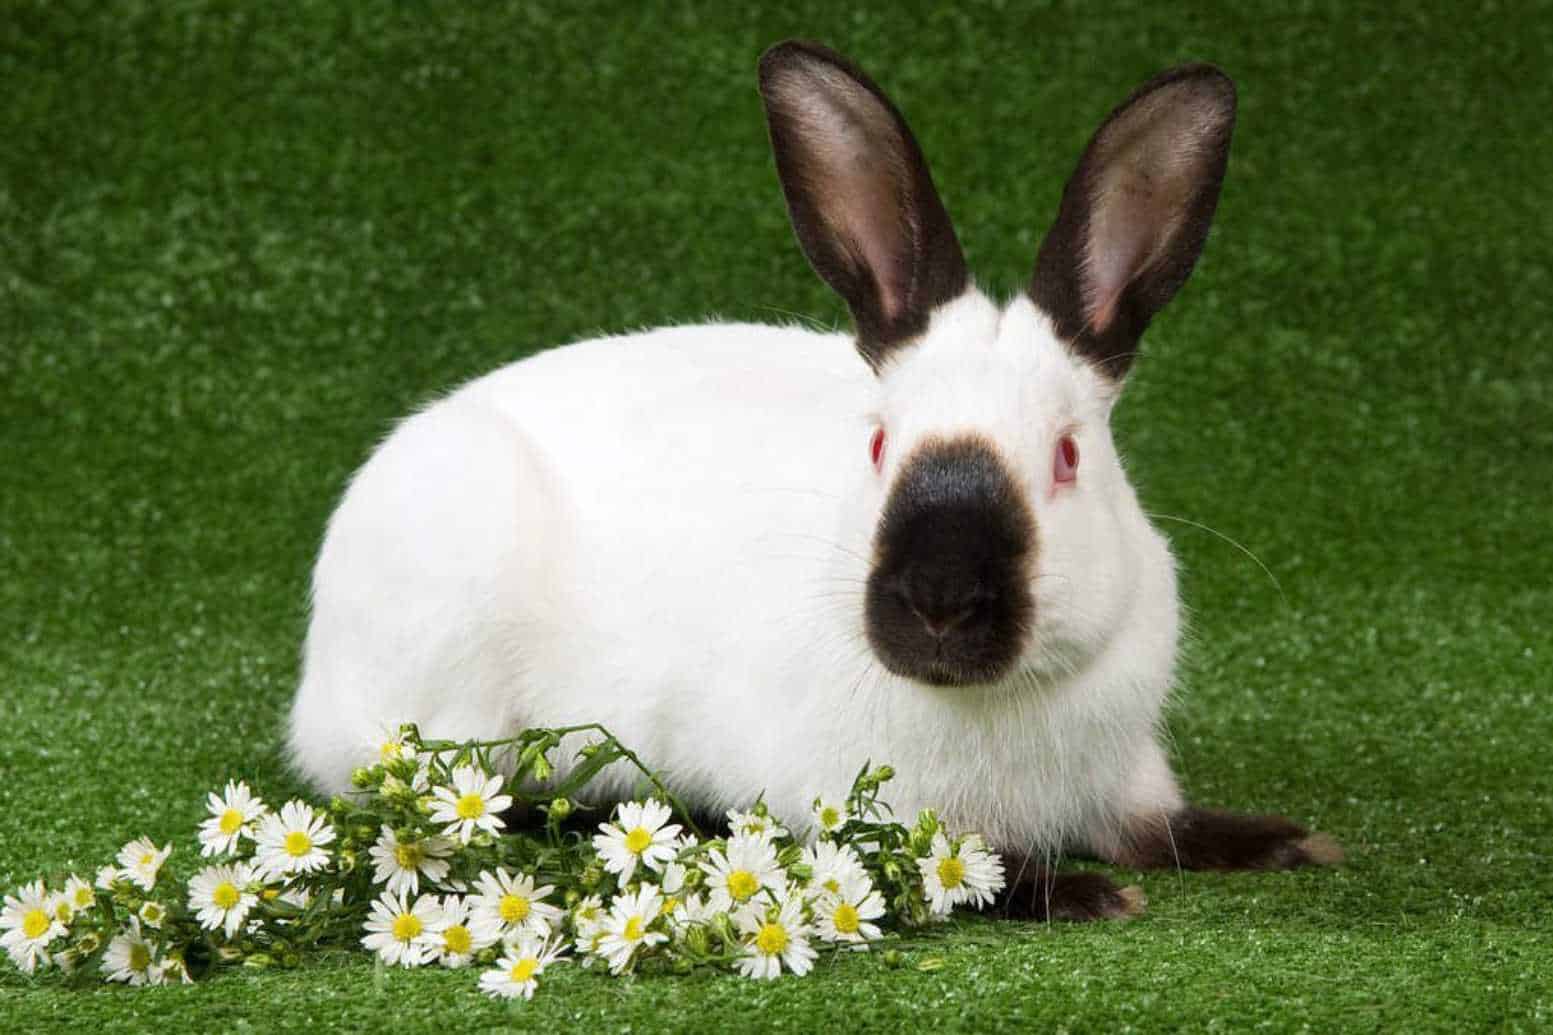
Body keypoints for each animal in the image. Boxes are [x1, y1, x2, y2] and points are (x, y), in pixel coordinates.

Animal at [288, 38, 1335, 920]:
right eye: (876, 445)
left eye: (1067, 457)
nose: (939, 602)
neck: (993, 698)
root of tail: (314, 683)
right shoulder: (857, 808)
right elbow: (968, 873)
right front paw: (1083, 894)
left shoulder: (1124, 773)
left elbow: (1163, 826)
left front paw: (1287, 842)